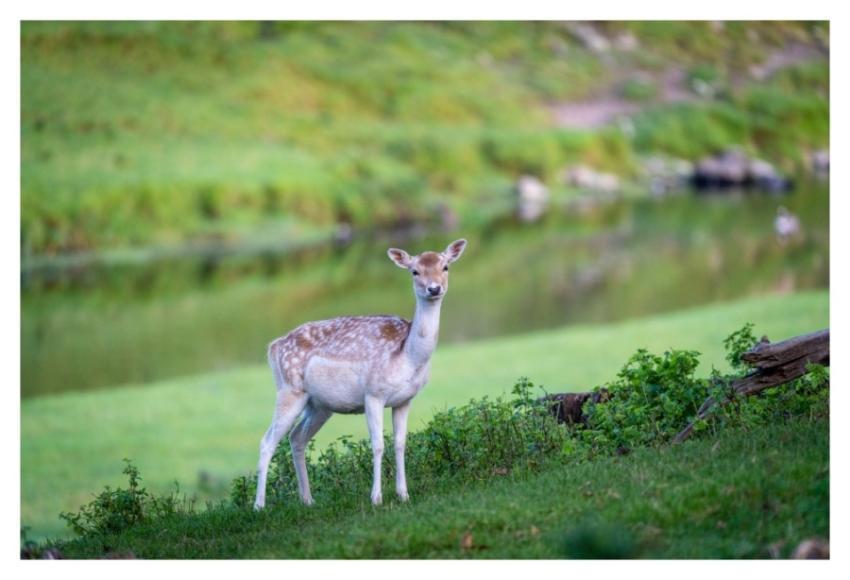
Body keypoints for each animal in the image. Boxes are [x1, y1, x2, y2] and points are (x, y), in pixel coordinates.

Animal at [254, 239, 468, 510]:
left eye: (445, 267)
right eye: (414, 271)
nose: (434, 288)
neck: (408, 356)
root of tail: (273, 347)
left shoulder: (405, 400)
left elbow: (400, 444)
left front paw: (403, 495)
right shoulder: (373, 394)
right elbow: (377, 445)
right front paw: (376, 498)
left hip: (319, 404)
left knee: (297, 438)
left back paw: (308, 500)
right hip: (289, 390)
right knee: (267, 442)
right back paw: (259, 506)